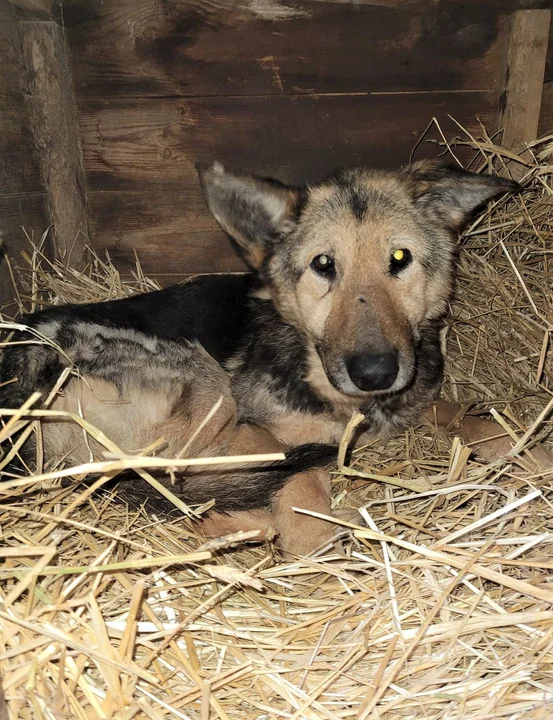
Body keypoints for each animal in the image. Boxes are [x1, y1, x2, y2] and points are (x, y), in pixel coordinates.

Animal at [0, 162, 524, 556]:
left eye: (400, 258)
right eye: (323, 265)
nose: (375, 374)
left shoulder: (413, 401)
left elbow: (466, 414)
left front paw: (520, 446)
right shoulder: (263, 431)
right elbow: (301, 486)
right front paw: (312, 530)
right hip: (206, 385)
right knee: (180, 488)